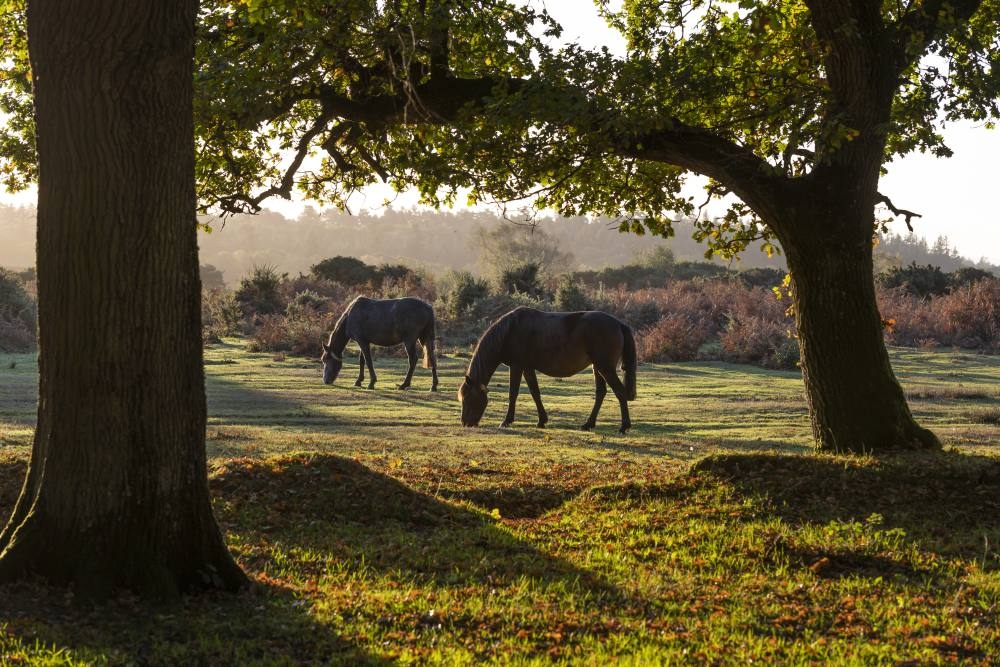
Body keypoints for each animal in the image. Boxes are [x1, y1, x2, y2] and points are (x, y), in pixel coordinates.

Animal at [458, 306, 637, 434]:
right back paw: (588, 424)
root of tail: (619, 324)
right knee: (601, 393)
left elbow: (513, 393)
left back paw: (624, 427)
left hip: (605, 368)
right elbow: (535, 392)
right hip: (597, 368)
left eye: (468, 398)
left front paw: (506, 421)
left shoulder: (517, 366)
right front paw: (541, 421)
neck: (509, 331)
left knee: (620, 392)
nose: (465, 423)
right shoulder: (527, 368)